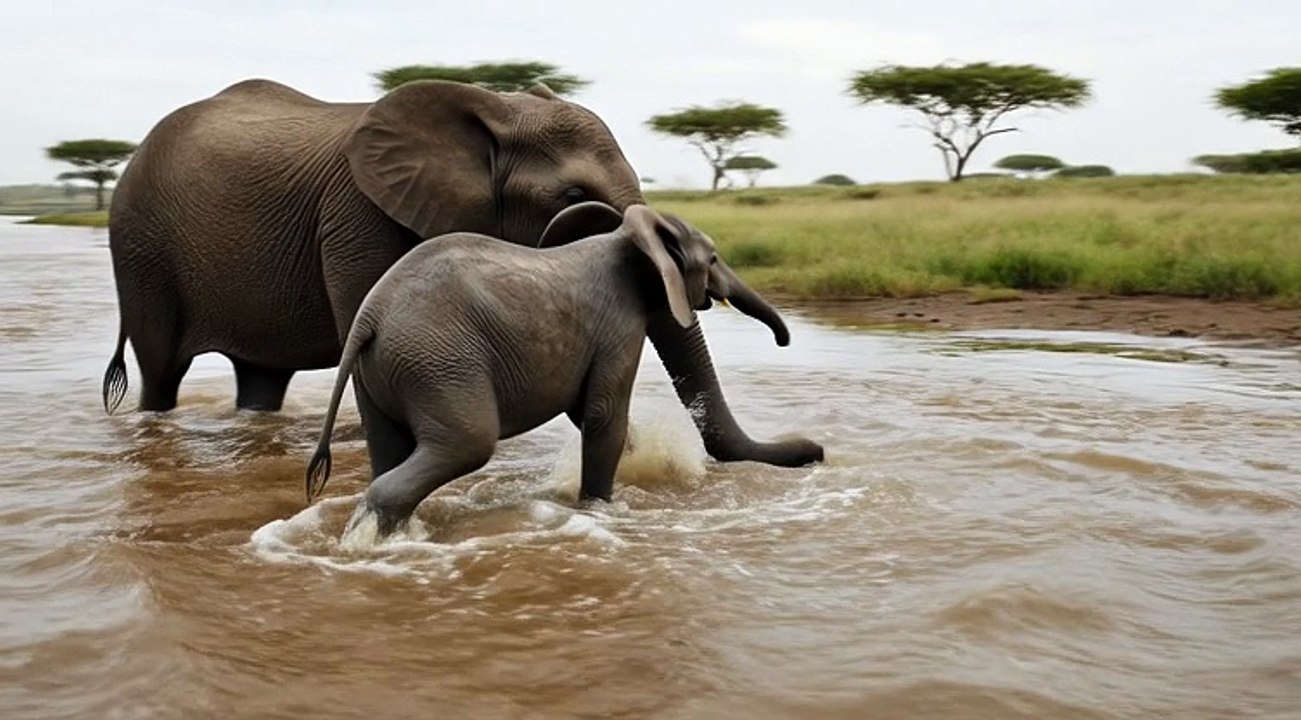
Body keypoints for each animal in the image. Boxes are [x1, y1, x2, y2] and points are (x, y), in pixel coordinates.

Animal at [102, 78, 823, 469]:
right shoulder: (358, 214)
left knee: (261, 378)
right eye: (572, 198)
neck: (491, 108)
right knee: (161, 370)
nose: (814, 449)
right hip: (140, 245)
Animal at [305, 203, 793, 538]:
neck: (627, 239)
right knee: (467, 443)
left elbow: (590, 413)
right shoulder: (620, 326)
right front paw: (599, 510)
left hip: (385, 372)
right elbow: (603, 416)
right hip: (438, 361)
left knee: (389, 449)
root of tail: (369, 318)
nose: (783, 341)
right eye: (713, 259)